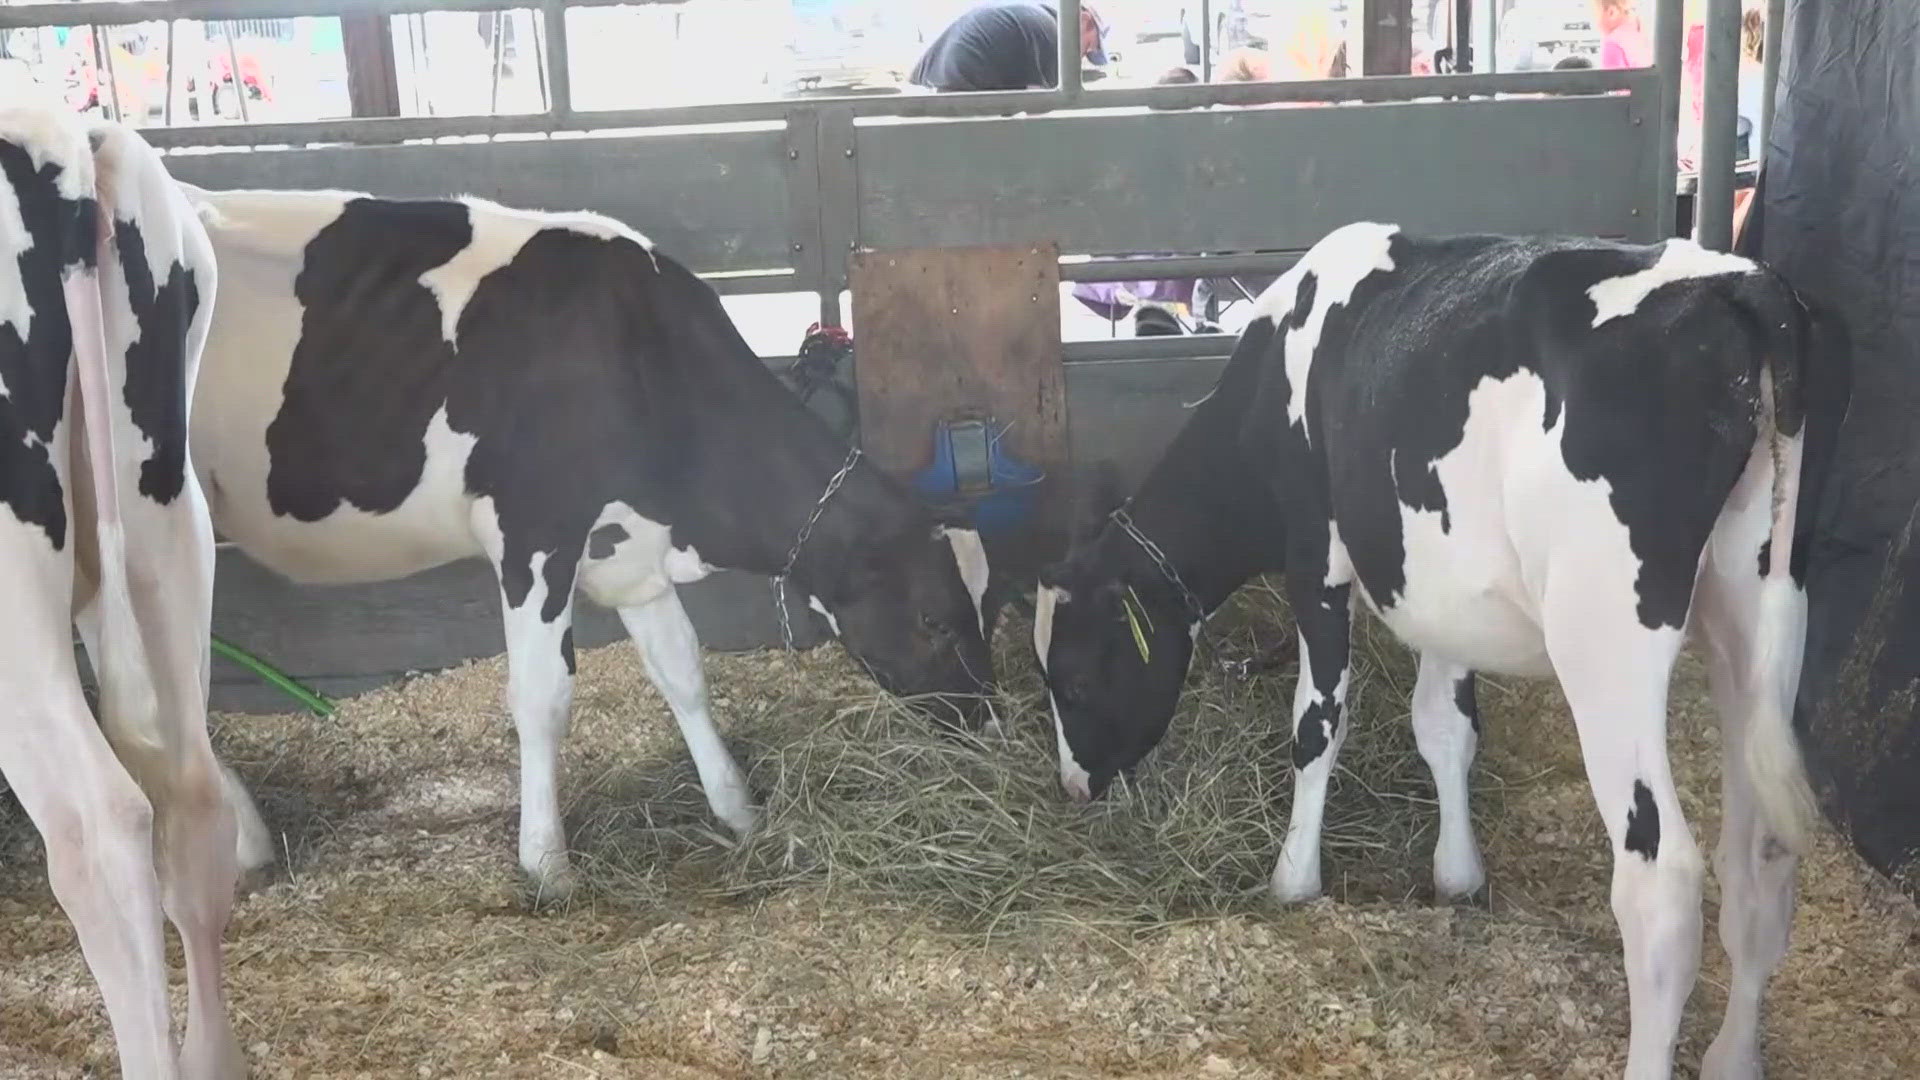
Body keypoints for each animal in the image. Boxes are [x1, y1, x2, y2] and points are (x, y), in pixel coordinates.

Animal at [172, 187, 998, 899]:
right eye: (932, 618)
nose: (985, 723)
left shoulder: (627, 548)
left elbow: (683, 672)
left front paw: (738, 809)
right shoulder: (534, 534)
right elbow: (542, 698)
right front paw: (546, 863)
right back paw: (241, 839)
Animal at [1044, 220, 1850, 1076]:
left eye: (1074, 681)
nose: (1073, 786)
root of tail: (1744, 283)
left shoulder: (1314, 556)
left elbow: (1316, 726)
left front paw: (1294, 878)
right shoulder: (1441, 592)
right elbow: (1443, 726)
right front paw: (1457, 874)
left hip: (1606, 639)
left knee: (1661, 886)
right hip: (1756, 614)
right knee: (1762, 863)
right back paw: (1733, 1055)